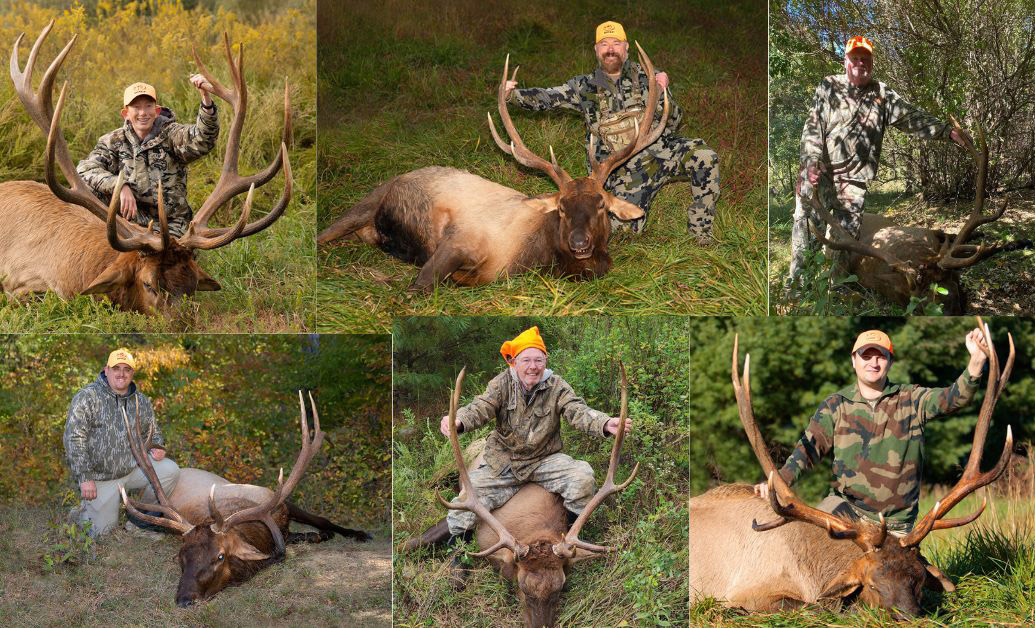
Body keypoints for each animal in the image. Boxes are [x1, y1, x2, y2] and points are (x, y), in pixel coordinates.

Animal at [117, 391, 371, 607]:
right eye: (182, 555)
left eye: (220, 556)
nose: (185, 600)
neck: (263, 531)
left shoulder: (280, 502)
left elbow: (321, 521)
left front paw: (356, 533)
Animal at [316, 43, 669, 292]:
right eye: (562, 207)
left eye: (600, 205)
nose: (579, 243)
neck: (533, 255)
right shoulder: (459, 240)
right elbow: (420, 286)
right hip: (367, 202)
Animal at [689, 319, 1014, 619]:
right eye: (872, 585)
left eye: (920, 580)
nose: (908, 616)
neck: (809, 570)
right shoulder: (748, 591)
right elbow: (811, 607)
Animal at [805, 121, 1032, 313]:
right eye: (917, 305)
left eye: (954, 289)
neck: (918, 255)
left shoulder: (928, 236)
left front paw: (1020, 241)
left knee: (952, 235)